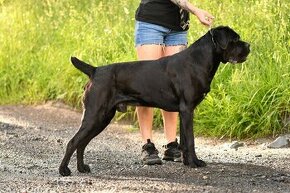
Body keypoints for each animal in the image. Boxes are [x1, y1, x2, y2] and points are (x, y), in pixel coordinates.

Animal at [58, 25, 249, 176]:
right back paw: (64, 170)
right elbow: (191, 140)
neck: (199, 60)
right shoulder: (187, 109)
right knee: (74, 142)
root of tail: (95, 70)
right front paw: (195, 163)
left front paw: (187, 162)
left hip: (102, 118)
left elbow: (185, 141)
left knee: (82, 143)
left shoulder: (184, 112)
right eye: (235, 39)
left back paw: (82, 168)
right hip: (96, 114)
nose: (249, 45)